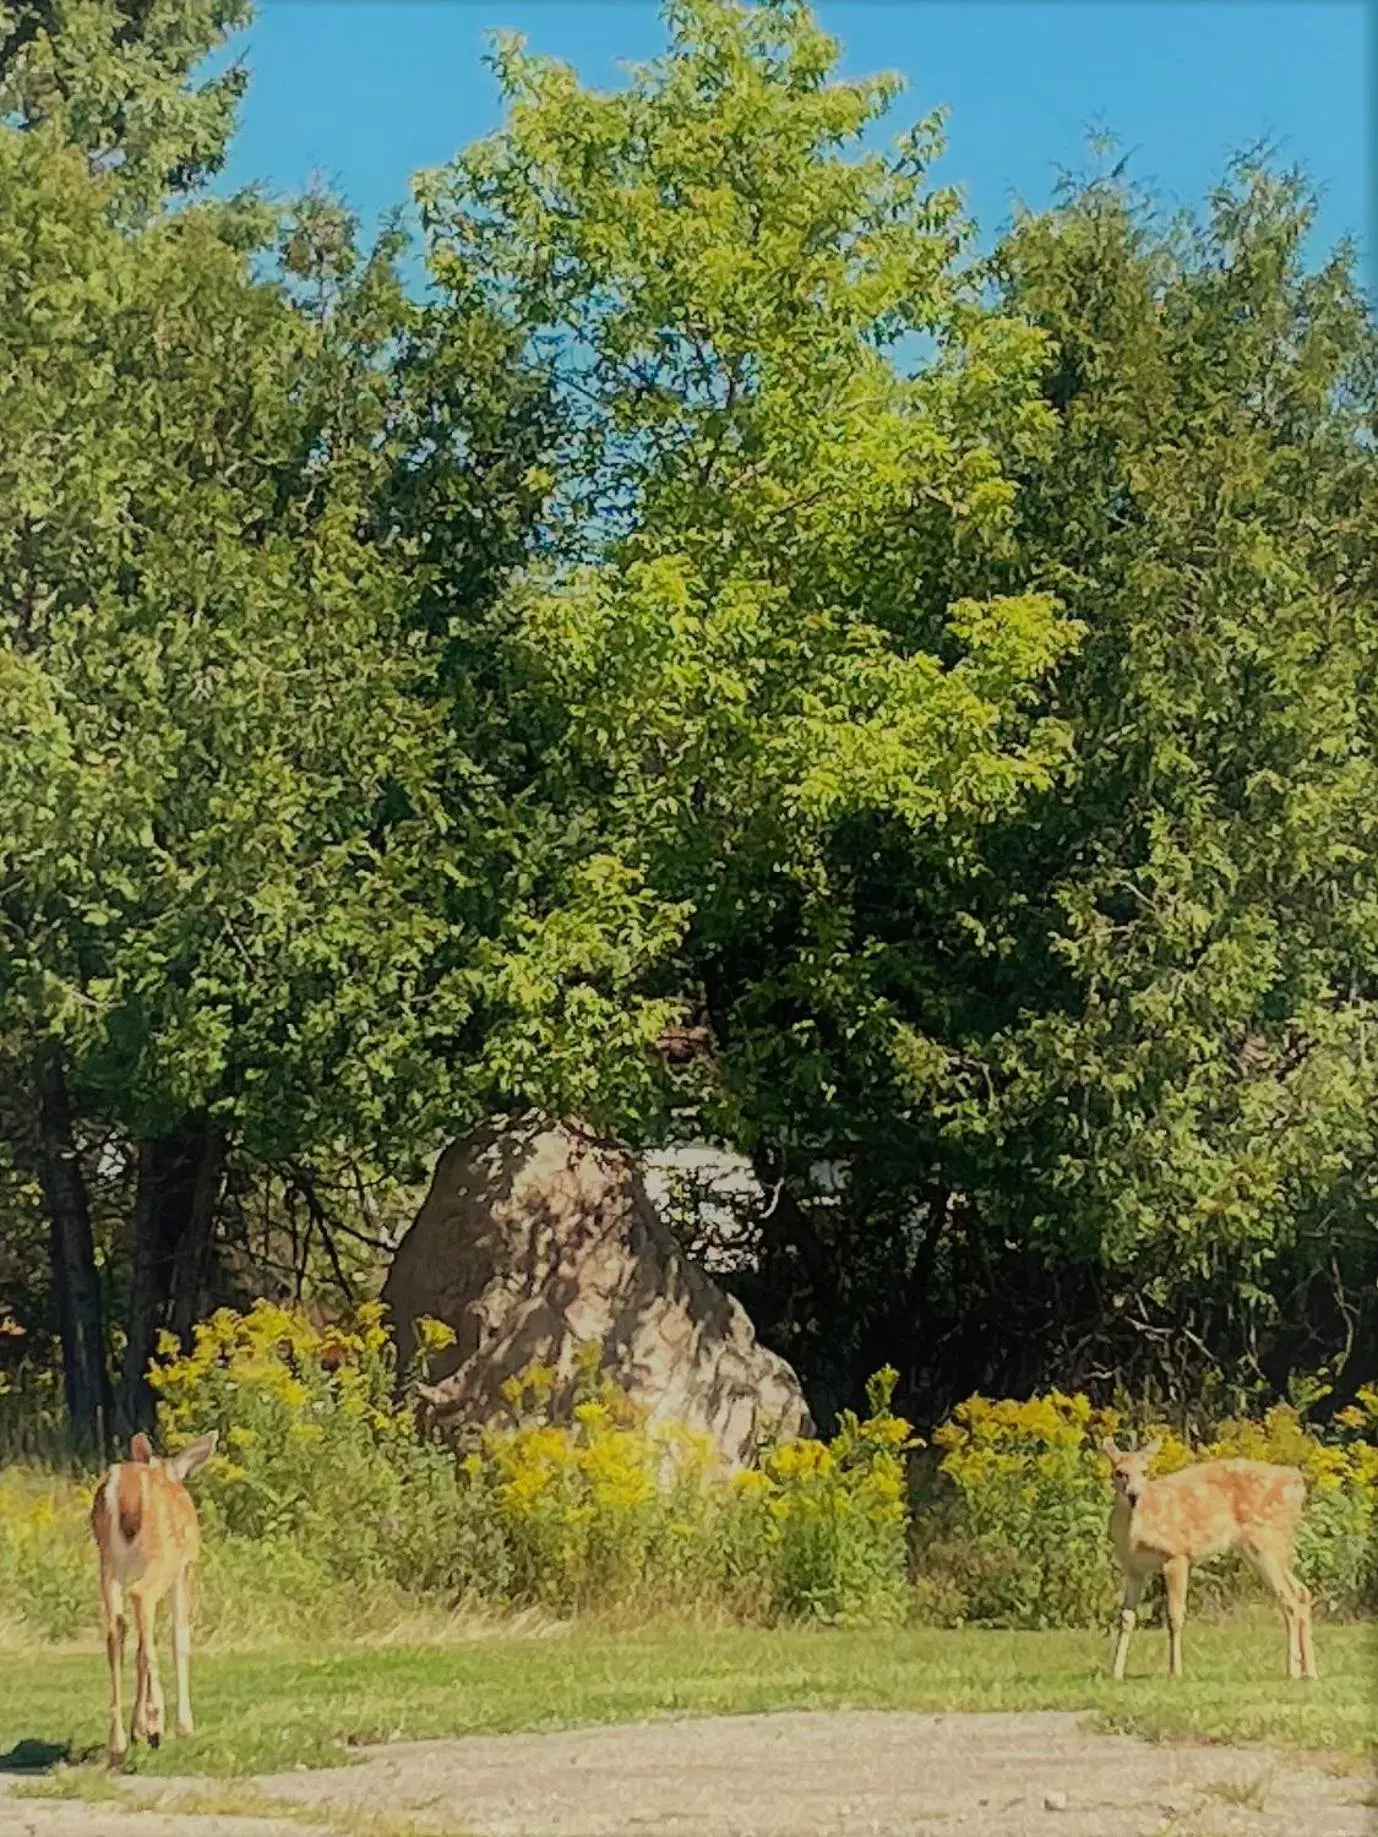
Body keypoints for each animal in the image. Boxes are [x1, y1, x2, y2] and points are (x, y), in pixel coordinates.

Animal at [89, 1418, 218, 1763]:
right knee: (141, 1597)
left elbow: (139, 1647)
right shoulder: (186, 1567)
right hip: (162, 1559)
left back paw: (118, 1741)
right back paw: (155, 1722)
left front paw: (137, 1729)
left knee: (116, 1629)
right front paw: (184, 1726)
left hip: (108, 1563)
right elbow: (180, 1638)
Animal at [1109, 1440, 1322, 1682]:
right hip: (1271, 1547)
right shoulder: (1134, 1568)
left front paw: (1175, 1672)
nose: (1133, 1495)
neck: (1134, 1535)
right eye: (1119, 1472)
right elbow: (1126, 1618)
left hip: (1265, 1540)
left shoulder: (1177, 1554)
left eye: (1144, 1471)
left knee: (1290, 1598)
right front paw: (1116, 1672)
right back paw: (1310, 1672)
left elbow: (1174, 1615)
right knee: (1302, 1591)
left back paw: (1292, 1671)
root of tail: (1296, 1482)